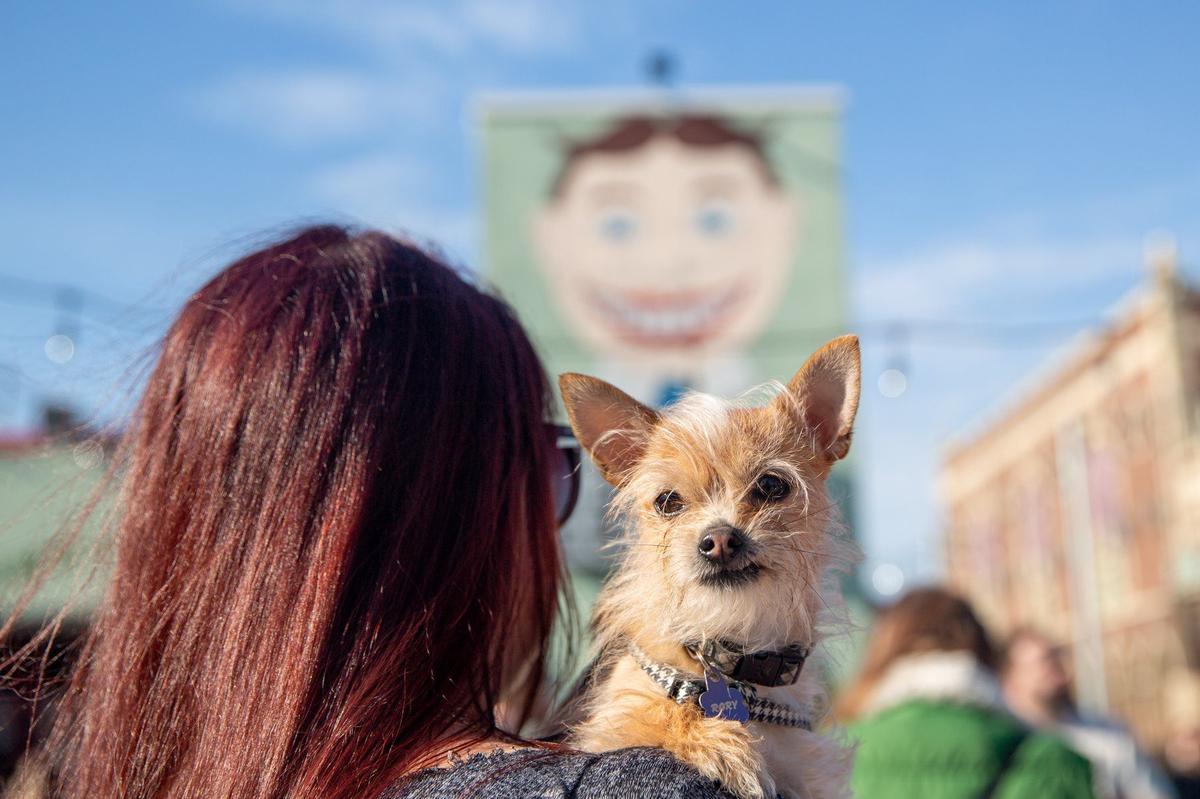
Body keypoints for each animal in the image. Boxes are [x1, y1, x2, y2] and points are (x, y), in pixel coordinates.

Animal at [556, 333, 859, 791]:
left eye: (772, 486)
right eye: (668, 501)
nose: (718, 541)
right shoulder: (616, 723)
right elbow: (653, 719)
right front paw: (723, 746)